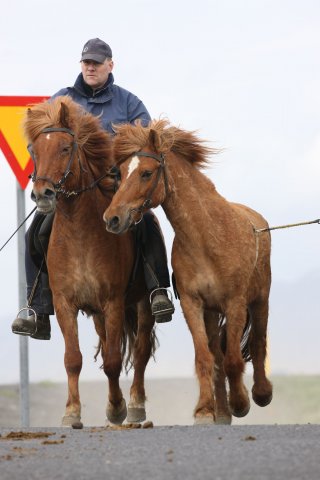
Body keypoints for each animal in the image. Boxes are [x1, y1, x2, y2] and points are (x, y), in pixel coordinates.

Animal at [23, 95, 156, 426]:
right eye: (34, 150)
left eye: (65, 147)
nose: (42, 194)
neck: (80, 233)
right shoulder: (65, 303)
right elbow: (73, 359)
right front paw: (71, 413)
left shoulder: (113, 302)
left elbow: (112, 361)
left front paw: (117, 408)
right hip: (97, 314)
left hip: (141, 305)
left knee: (141, 350)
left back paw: (135, 404)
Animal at [103, 120, 272, 424]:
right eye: (120, 173)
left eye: (146, 173)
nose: (112, 218)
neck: (208, 236)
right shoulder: (194, 304)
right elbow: (205, 357)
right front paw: (205, 410)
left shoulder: (236, 303)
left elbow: (234, 359)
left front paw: (241, 403)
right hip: (212, 313)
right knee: (217, 354)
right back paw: (222, 411)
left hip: (260, 300)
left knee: (257, 341)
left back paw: (260, 394)